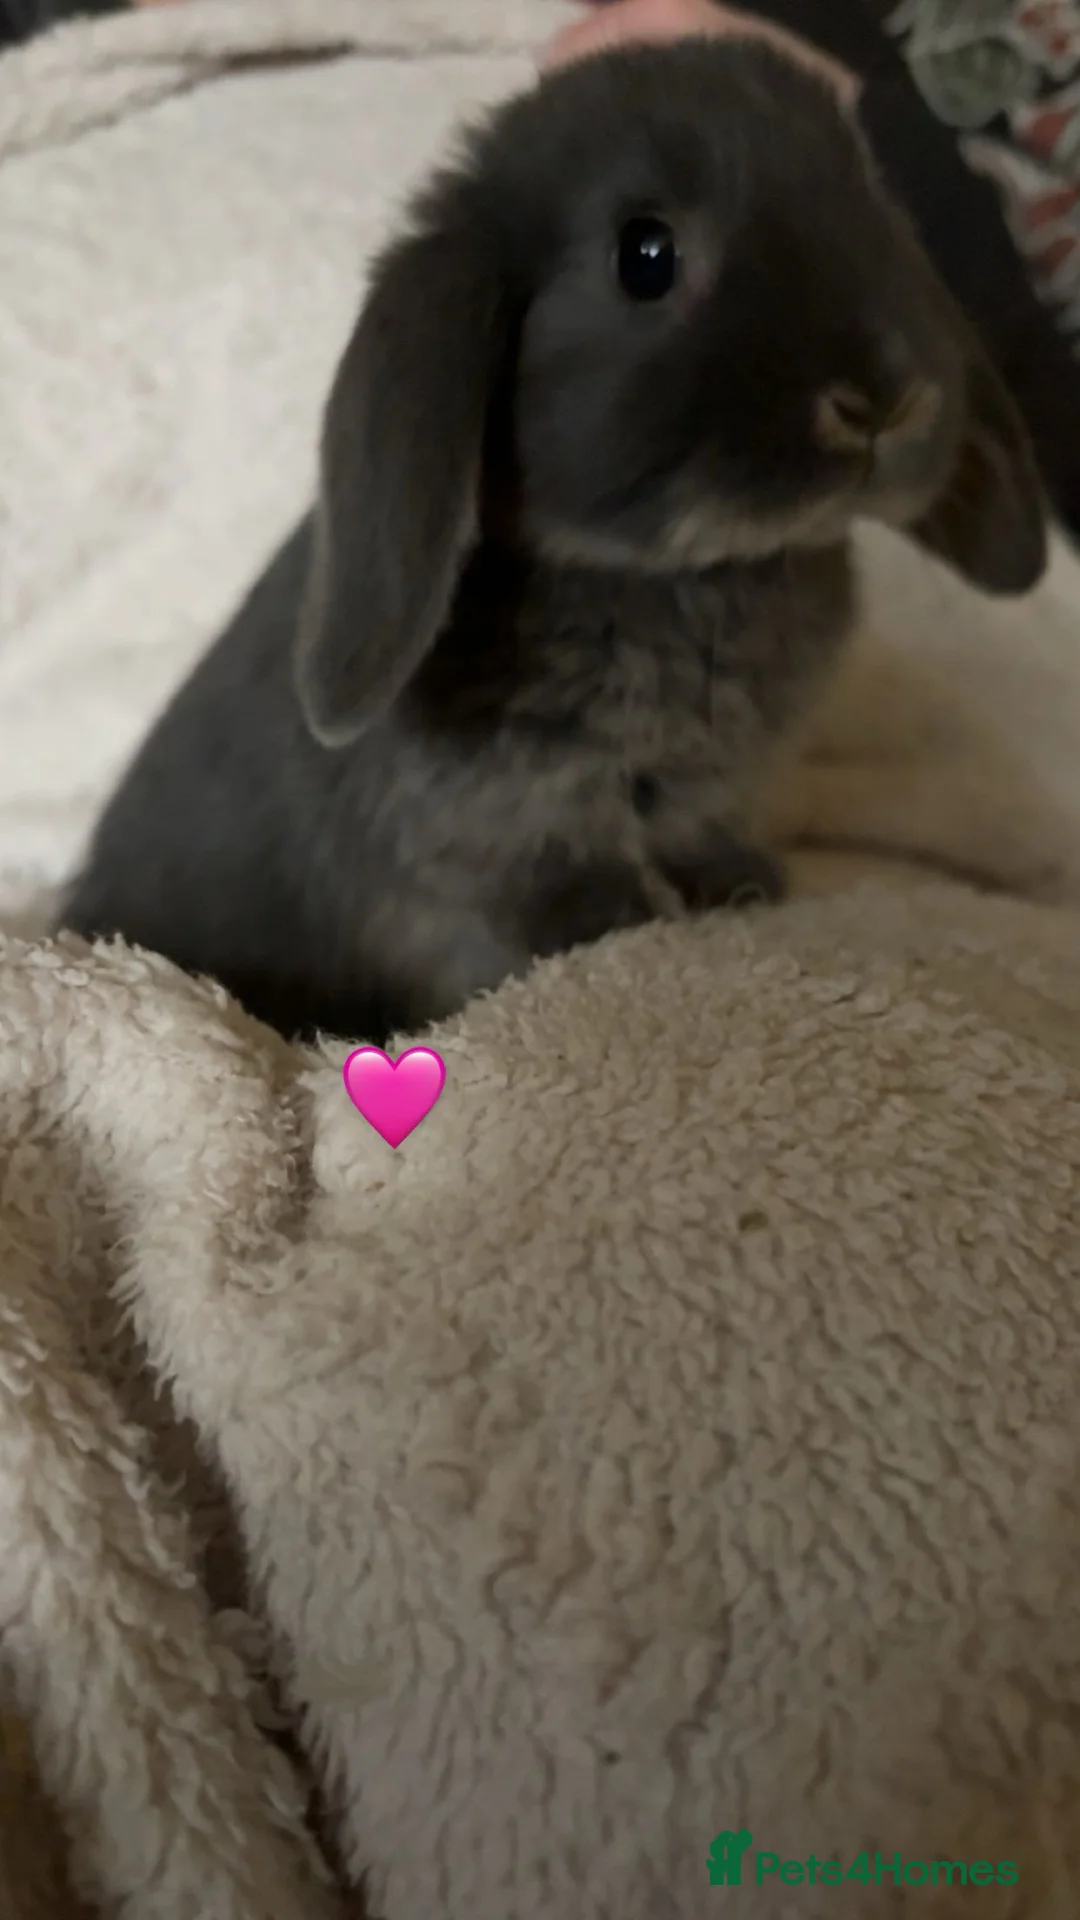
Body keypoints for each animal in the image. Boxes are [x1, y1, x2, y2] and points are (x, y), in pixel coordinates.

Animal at [60, 36, 1047, 1044]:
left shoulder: (703, 784)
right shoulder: (498, 812)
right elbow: (542, 874)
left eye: (873, 200)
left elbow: (698, 831)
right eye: (645, 257)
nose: (886, 400)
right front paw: (622, 917)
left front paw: (740, 885)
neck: (683, 571)